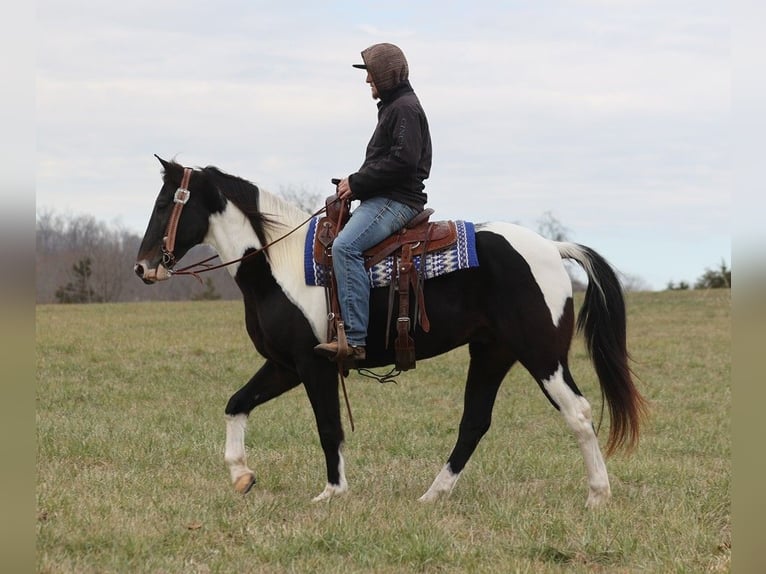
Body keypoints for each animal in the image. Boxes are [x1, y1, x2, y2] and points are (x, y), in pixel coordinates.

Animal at [135, 156, 644, 508]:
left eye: (164, 204)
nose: (142, 268)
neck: (277, 264)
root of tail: (553, 248)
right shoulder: (283, 365)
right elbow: (236, 403)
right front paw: (241, 474)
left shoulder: (313, 364)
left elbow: (328, 426)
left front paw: (332, 493)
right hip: (492, 353)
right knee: (475, 422)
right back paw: (432, 495)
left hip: (542, 354)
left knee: (577, 412)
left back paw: (597, 494)